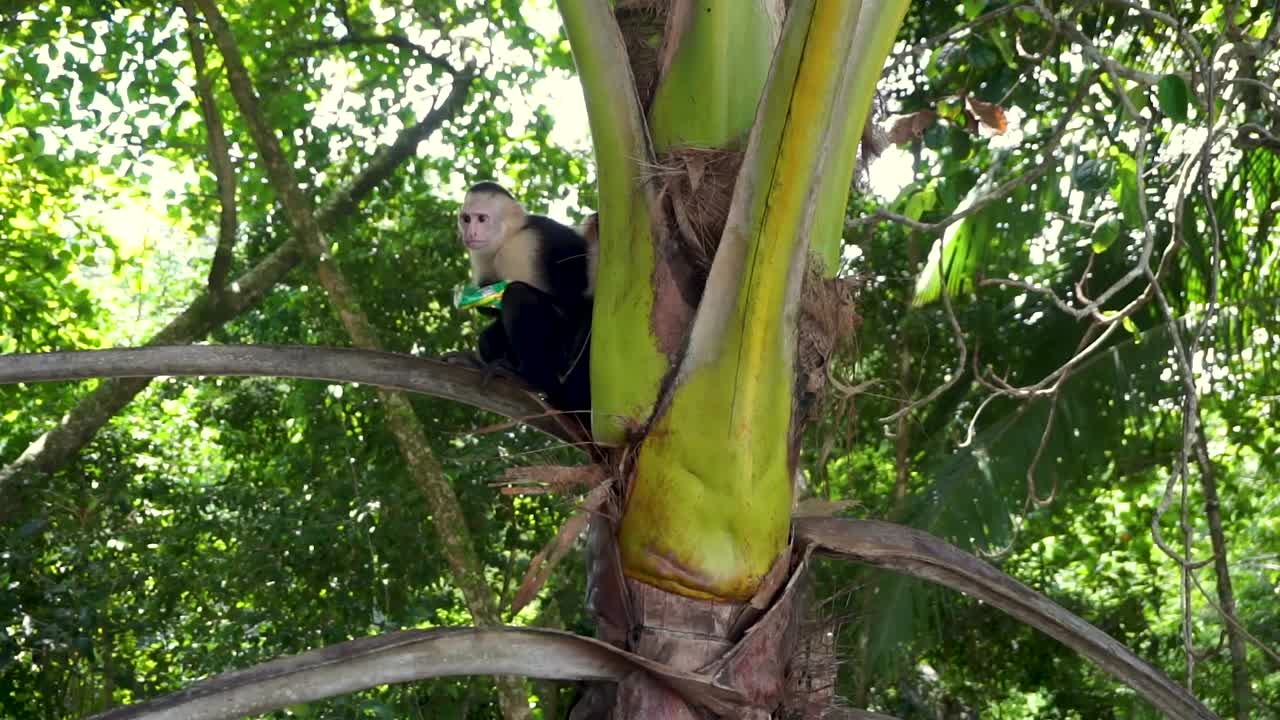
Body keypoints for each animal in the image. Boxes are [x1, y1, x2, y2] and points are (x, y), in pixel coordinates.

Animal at [447, 181, 594, 418]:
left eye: (482, 219)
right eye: (466, 219)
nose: (471, 233)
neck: (512, 234)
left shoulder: (521, 249)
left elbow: (566, 300)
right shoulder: (481, 253)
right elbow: (491, 306)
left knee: (518, 295)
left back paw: (531, 378)